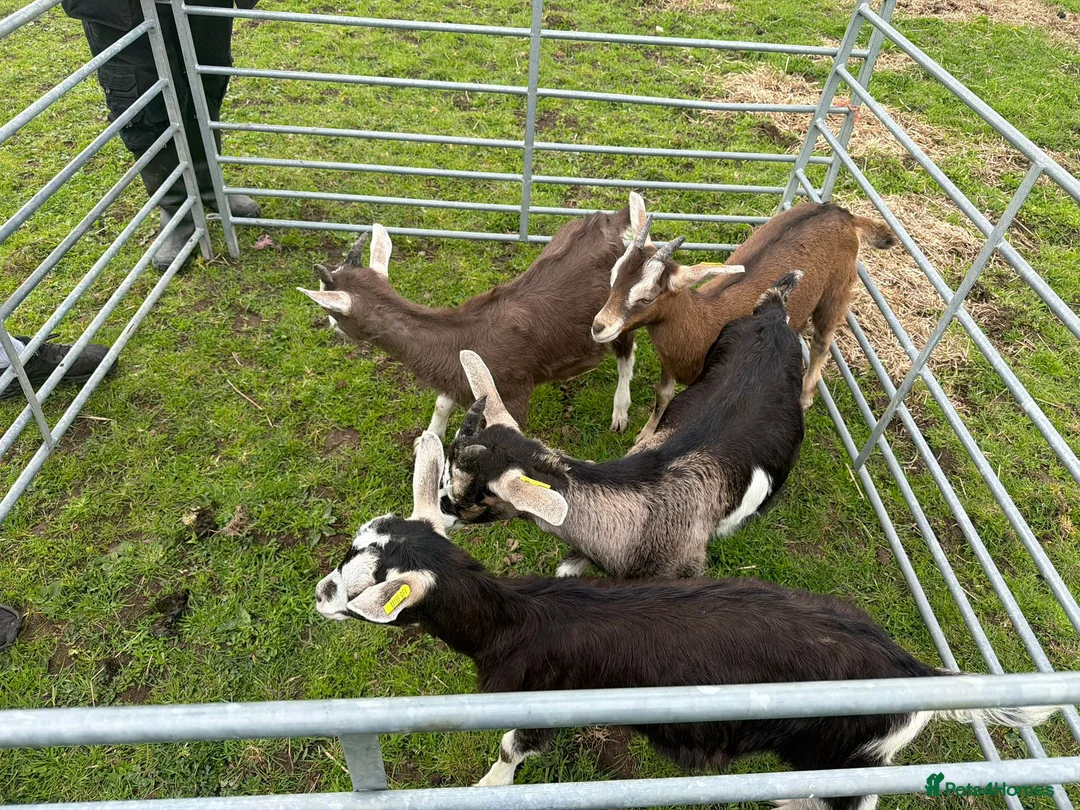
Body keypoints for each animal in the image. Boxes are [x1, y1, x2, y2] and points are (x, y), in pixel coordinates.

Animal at [297, 215, 640, 441]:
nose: (330, 325)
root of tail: (612, 221)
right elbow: (442, 403)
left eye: (328, 307)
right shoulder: (458, 376)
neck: (458, 335)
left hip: (618, 314)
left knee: (626, 354)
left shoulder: (513, 394)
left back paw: (620, 413)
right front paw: (427, 440)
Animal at [316, 432, 1059, 810]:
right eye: (357, 544)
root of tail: (911, 667)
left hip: (851, 758)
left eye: (369, 590)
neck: (516, 619)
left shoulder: (539, 700)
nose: (321, 593)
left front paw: (486, 790)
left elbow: (509, 752)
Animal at [591, 196, 897, 443]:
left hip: (836, 290)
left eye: (647, 297)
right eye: (613, 277)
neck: (703, 321)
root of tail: (842, 213)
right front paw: (647, 432)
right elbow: (662, 395)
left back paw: (806, 395)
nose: (598, 327)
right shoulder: (669, 362)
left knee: (823, 341)